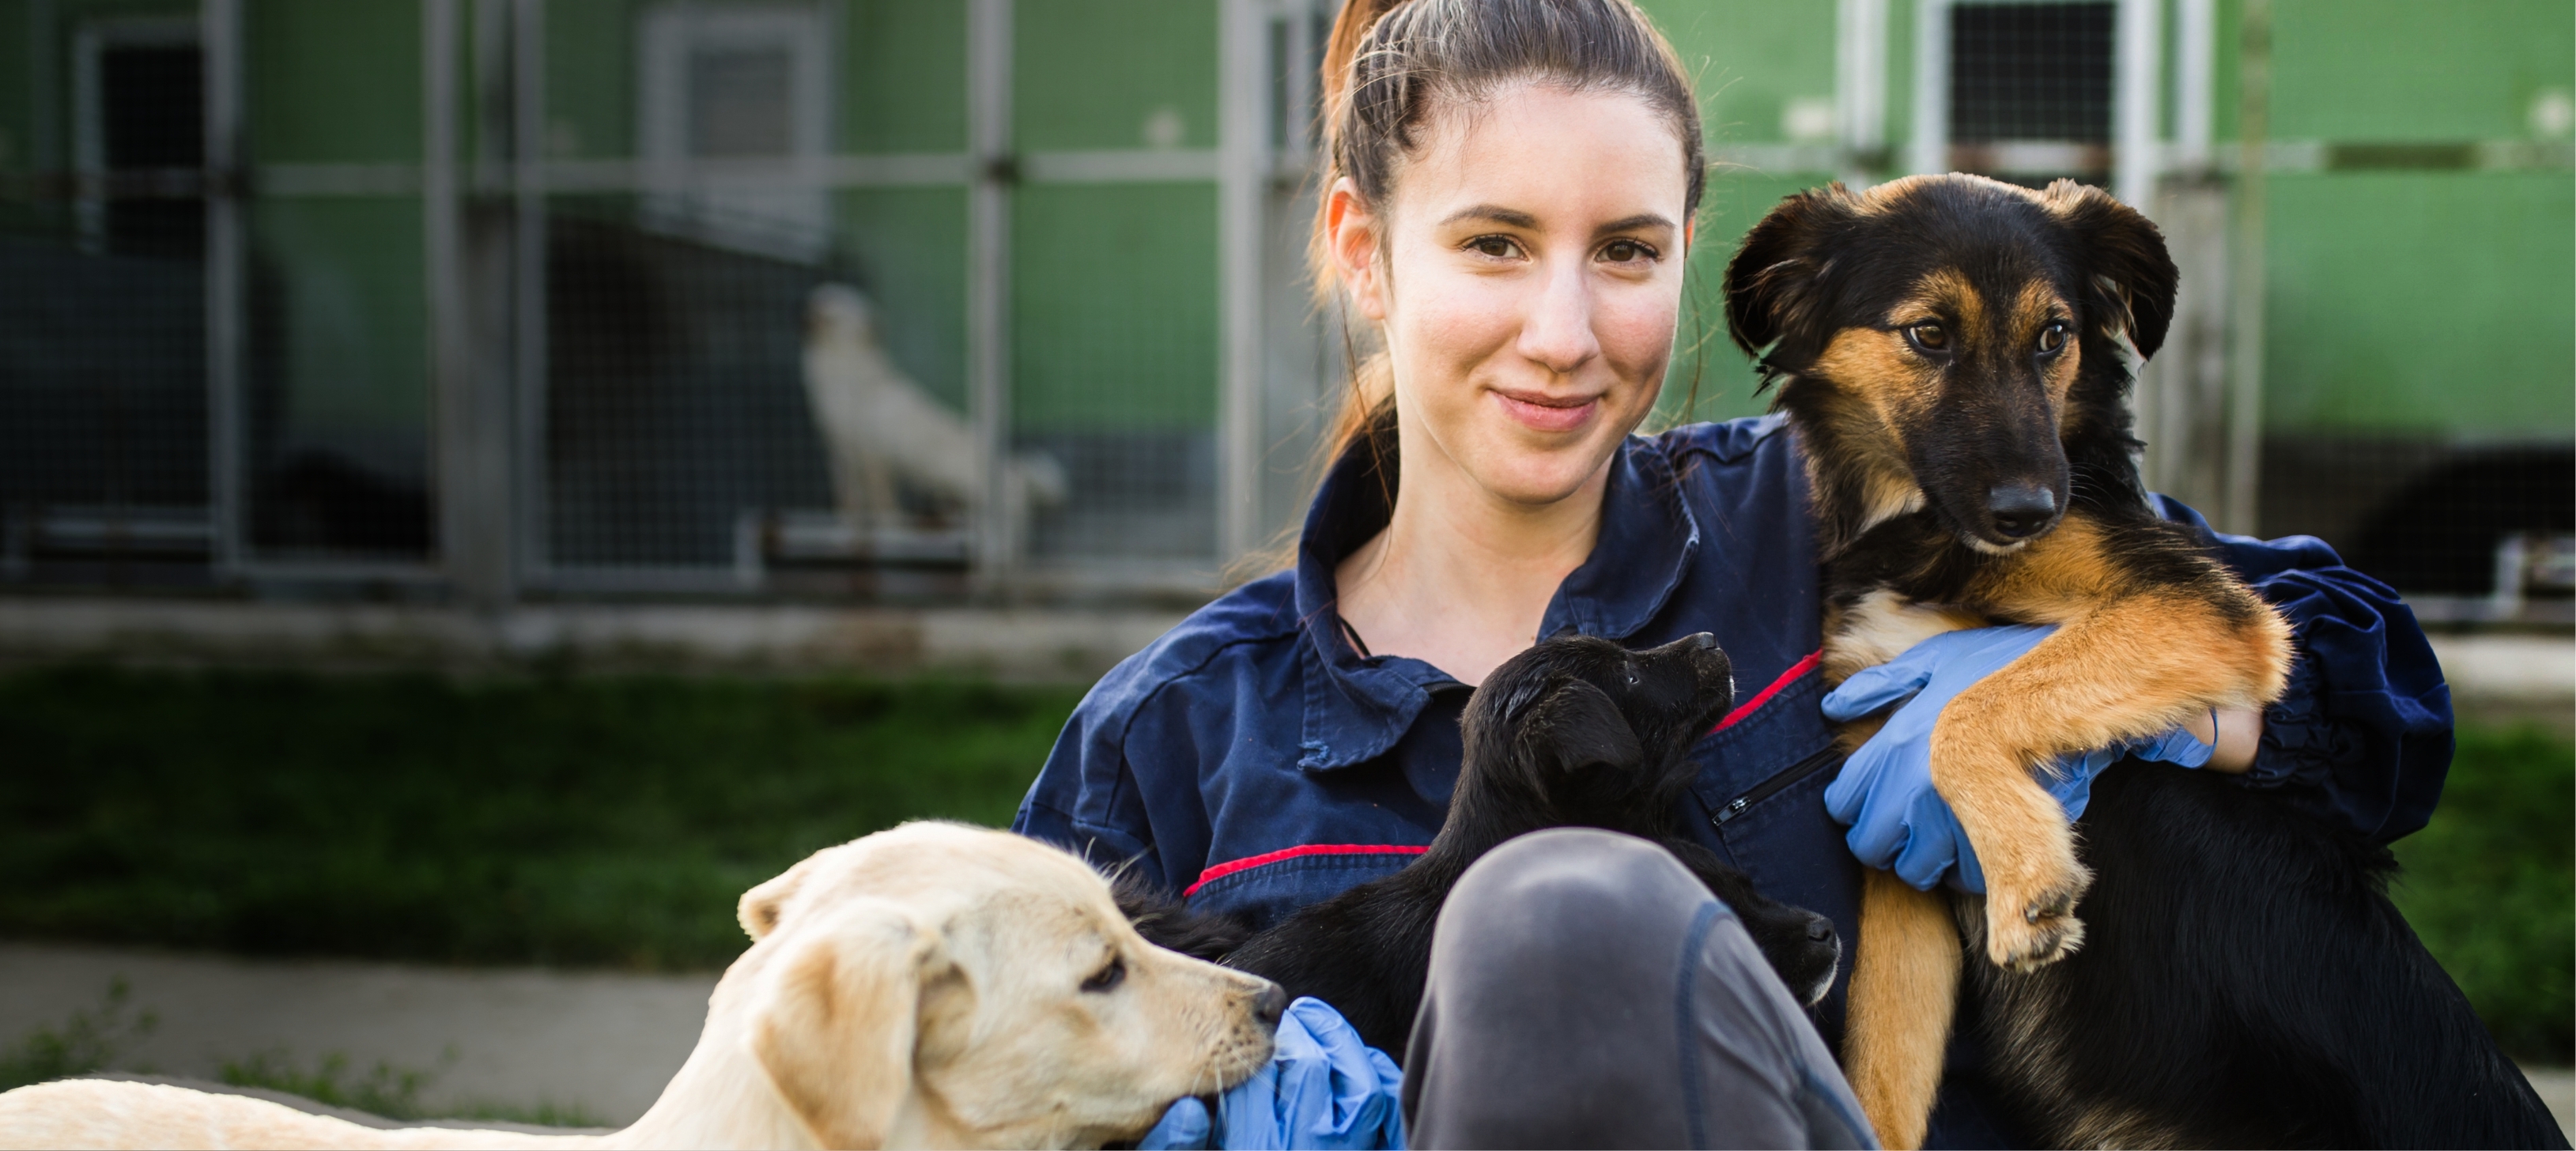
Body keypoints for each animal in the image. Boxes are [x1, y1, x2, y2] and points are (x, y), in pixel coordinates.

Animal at [1710, 173, 2555, 1151]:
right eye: (1929, 334)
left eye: (2054, 335)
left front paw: (2029, 875)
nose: (2030, 511)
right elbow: (1884, 1067)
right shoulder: (1897, 847)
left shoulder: (2206, 612)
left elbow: (1966, 704)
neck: (1921, 535)